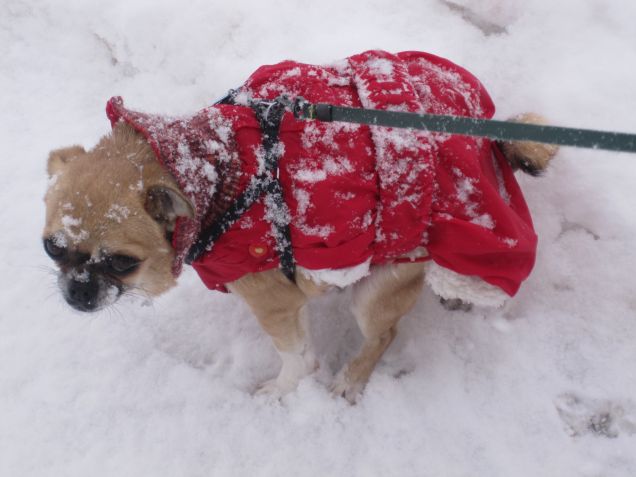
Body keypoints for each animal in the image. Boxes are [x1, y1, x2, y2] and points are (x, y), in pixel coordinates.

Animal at [42, 50, 556, 402]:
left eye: (121, 262)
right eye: (51, 247)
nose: (76, 292)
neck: (218, 171)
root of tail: (488, 138)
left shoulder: (272, 300)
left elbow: (297, 357)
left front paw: (283, 390)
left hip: (382, 285)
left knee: (384, 334)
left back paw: (350, 381)